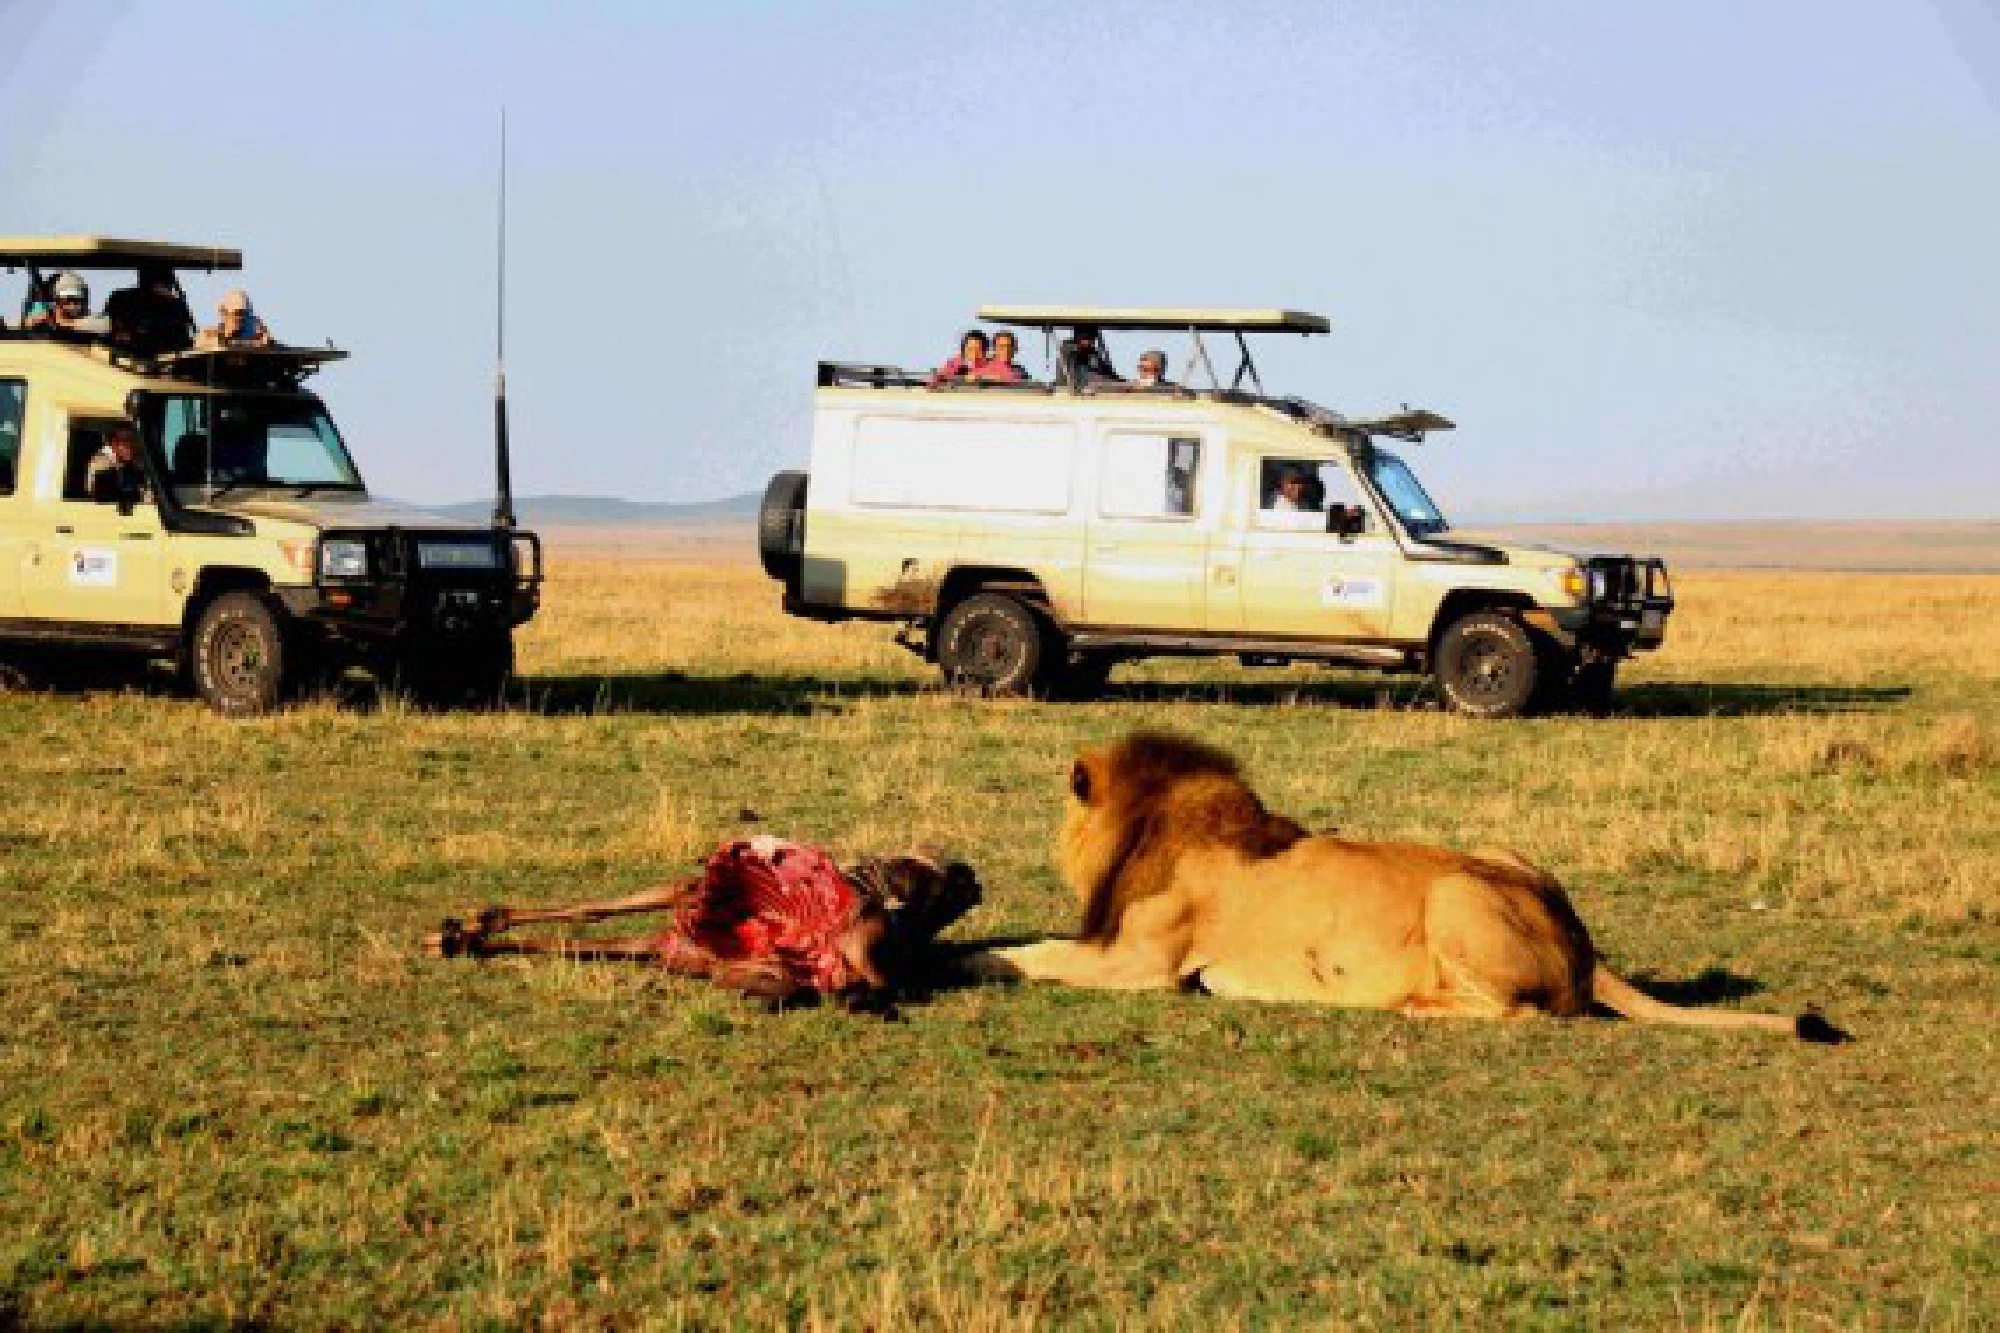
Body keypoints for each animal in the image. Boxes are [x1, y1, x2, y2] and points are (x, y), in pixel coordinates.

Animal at [967, 731, 1848, 1042]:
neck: (1150, 819)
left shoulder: (1146, 965)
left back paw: (1418, 1003)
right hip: (1504, 851)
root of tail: (1584, 942)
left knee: (1523, 1012)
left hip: (1456, 894)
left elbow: (1037, 952)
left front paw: (975, 959)